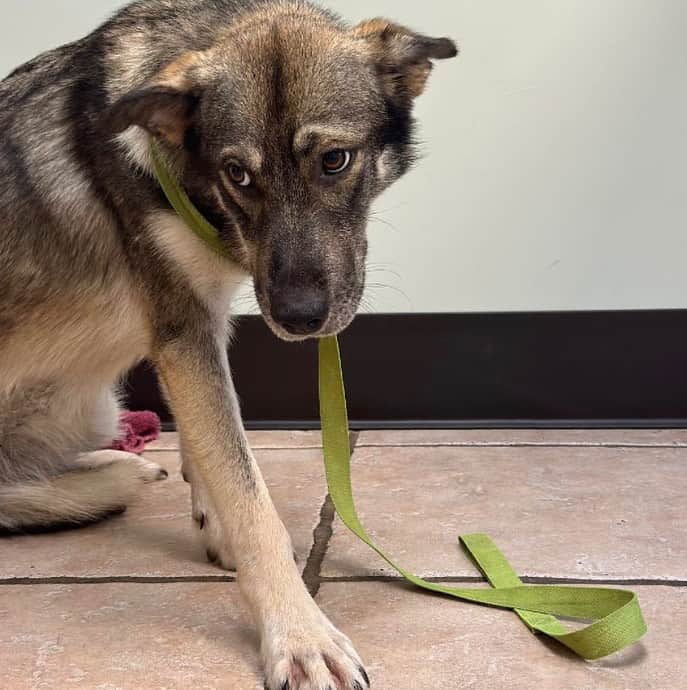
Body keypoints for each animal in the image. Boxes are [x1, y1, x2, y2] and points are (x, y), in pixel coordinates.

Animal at [0, 1, 456, 684]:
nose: (299, 319)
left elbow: (212, 450)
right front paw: (300, 636)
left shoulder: (197, 328)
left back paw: (118, 468)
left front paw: (213, 525)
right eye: (238, 174)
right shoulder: (182, 330)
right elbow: (249, 497)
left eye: (334, 160)